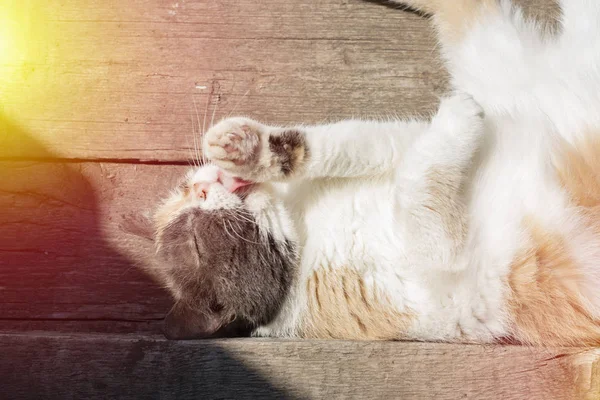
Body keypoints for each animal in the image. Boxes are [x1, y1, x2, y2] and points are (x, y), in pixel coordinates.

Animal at [142, 0, 600, 346]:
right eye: (196, 244)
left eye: (184, 190)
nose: (205, 184)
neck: (305, 226)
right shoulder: (432, 268)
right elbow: (416, 186)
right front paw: (459, 114)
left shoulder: (394, 142)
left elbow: (344, 143)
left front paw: (248, 146)